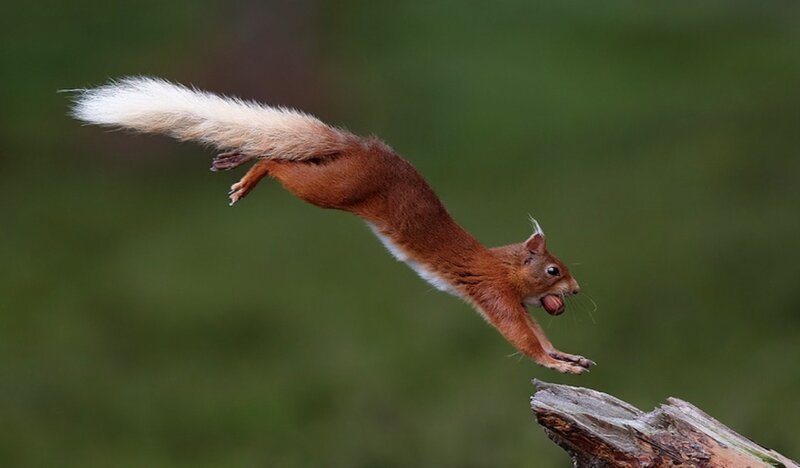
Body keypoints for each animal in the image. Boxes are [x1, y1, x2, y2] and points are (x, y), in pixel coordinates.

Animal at [71, 77, 594, 374]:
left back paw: (236, 159)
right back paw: (249, 174)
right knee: (280, 163)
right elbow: (521, 337)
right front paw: (558, 365)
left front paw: (569, 356)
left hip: (330, 174)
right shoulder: (491, 293)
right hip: (334, 188)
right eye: (553, 270)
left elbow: (538, 333)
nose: (576, 290)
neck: (501, 265)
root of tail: (357, 146)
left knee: (286, 155)